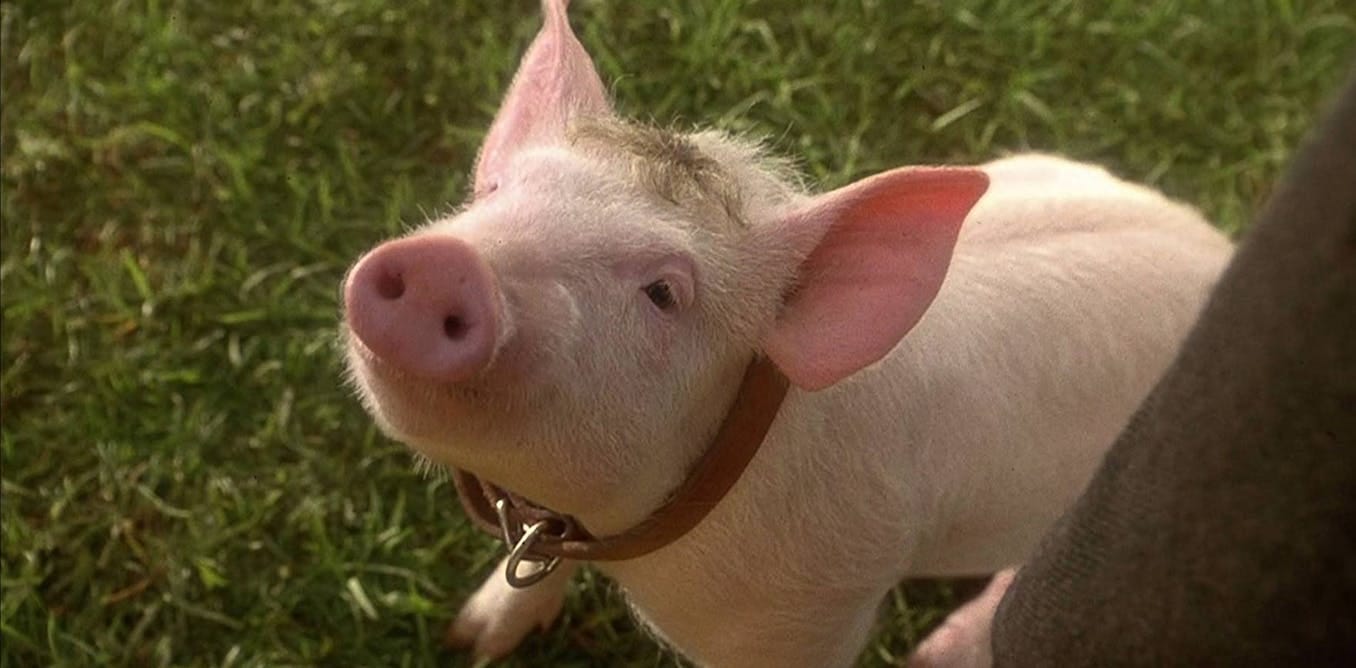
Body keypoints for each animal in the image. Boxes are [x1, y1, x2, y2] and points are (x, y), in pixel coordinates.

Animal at [339, 1, 1233, 665]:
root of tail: (1220, 248)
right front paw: (470, 642)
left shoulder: (819, 616)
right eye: (493, 193)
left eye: (664, 294)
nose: (444, 265)